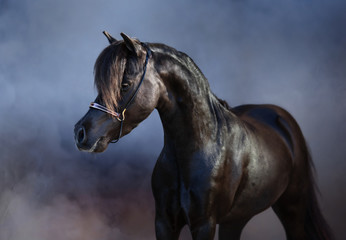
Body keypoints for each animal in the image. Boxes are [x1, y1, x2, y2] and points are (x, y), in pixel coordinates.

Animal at [73, 31, 332, 240]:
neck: (197, 149)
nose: (80, 132)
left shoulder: (204, 224)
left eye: (125, 84)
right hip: (236, 219)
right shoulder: (164, 223)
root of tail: (280, 116)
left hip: (292, 208)